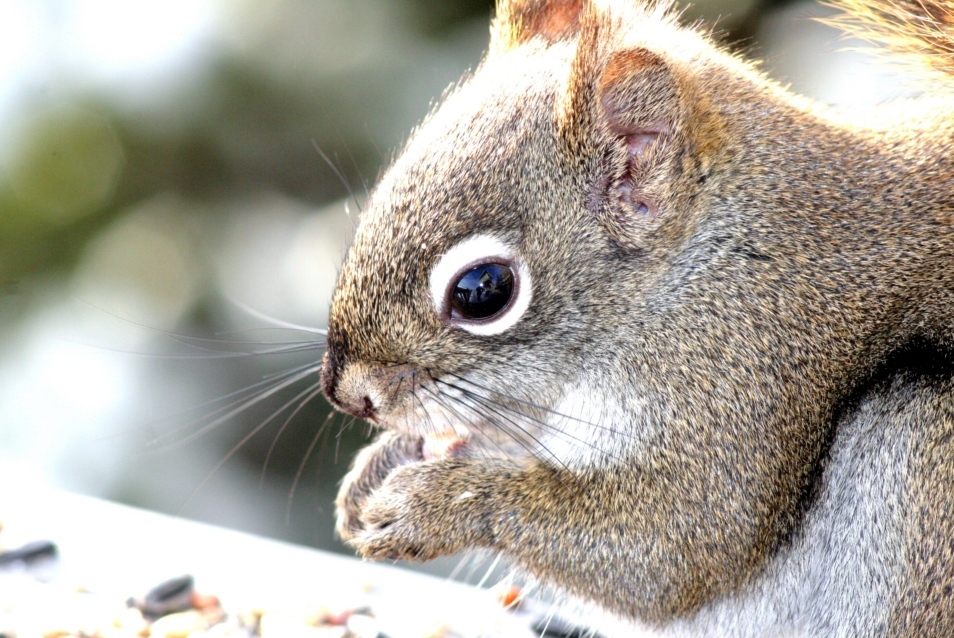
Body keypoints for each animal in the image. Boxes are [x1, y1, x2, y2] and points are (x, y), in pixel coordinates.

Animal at [316, 1, 948, 636]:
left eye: (483, 291)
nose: (348, 396)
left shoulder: (746, 379)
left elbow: (670, 548)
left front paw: (433, 503)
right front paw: (378, 469)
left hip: (922, 450)